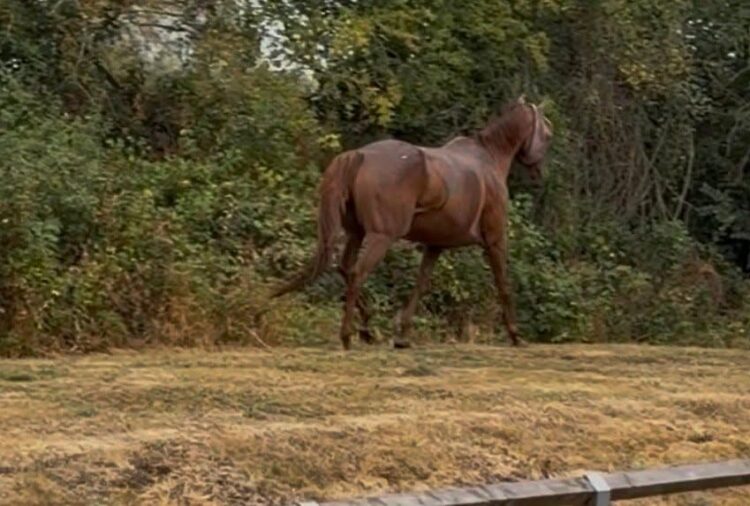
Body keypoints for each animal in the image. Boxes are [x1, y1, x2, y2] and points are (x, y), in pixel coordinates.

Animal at [272, 95, 554, 350]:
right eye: (548, 134)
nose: (541, 175)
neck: (489, 159)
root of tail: (360, 154)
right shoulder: (495, 240)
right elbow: (503, 283)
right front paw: (515, 335)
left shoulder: (435, 246)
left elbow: (421, 283)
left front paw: (402, 336)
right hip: (381, 237)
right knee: (357, 273)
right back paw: (349, 335)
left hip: (357, 233)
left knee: (345, 268)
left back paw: (367, 329)